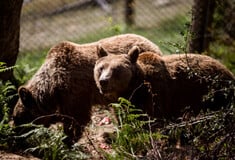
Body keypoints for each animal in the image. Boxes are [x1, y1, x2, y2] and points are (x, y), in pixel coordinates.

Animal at [11, 33, 162, 144]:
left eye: (18, 118)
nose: (14, 136)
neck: (54, 85)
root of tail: (153, 44)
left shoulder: (75, 91)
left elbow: (76, 119)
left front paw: (66, 140)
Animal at [94, 45, 235, 119]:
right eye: (101, 68)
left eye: (116, 69)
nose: (103, 81)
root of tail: (227, 69)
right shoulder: (122, 106)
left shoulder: (155, 95)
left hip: (214, 94)